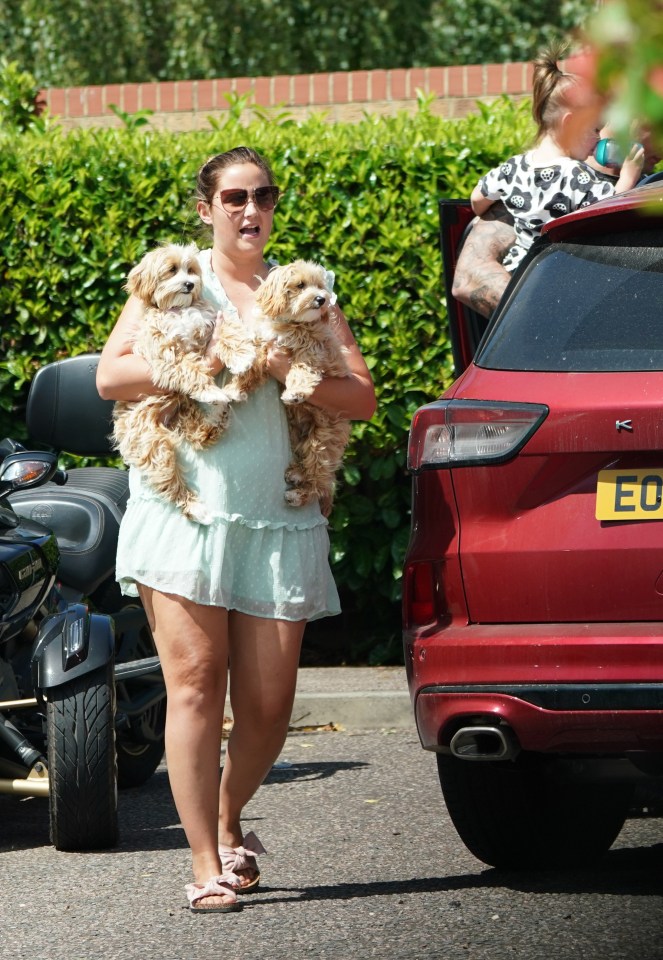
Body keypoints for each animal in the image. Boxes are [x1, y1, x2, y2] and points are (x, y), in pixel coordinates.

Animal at [110, 242, 255, 524]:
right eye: (172, 270)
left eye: (192, 270)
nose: (189, 284)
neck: (179, 310)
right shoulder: (164, 350)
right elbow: (189, 368)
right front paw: (207, 389)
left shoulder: (211, 321)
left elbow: (229, 331)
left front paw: (241, 355)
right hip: (151, 443)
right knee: (169, 479)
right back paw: (196, 509)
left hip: (187, 415)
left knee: (206, 431)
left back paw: (222, 403)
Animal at [226, 255, 352, 510]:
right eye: (301, 285)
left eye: (321, 286)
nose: (321, 299)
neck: (292, 324)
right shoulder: (265, 346)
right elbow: (252, 367)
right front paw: (235, 388)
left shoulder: (312, 352)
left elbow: (302, 371)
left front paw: (295, 393)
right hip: (297, 434)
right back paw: (296, 473)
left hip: (323, 440)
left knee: (319, 478)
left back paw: (298, 494)